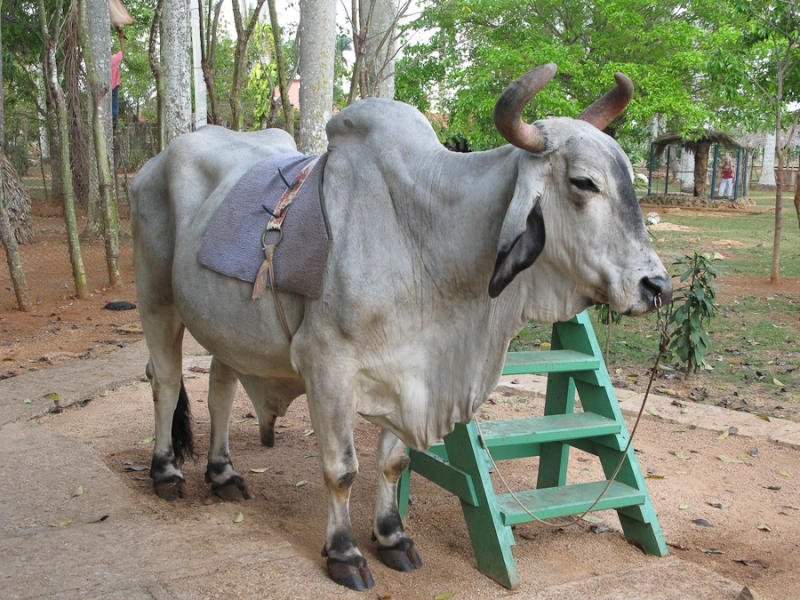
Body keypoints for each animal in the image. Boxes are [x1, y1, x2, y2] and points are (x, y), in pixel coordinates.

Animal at [130, 63, 672, 591]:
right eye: (584, 182)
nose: (657, 286)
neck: (425, 238)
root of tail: (153, 164)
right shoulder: (327, 366)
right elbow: (341, 470)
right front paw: (344, 552)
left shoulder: (410, 372)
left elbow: (393, 462)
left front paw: (391, 537)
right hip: (156, 299)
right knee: (166, 381)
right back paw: (166, 472)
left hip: (226, 326)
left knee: (219, 388)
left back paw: (222, 474)